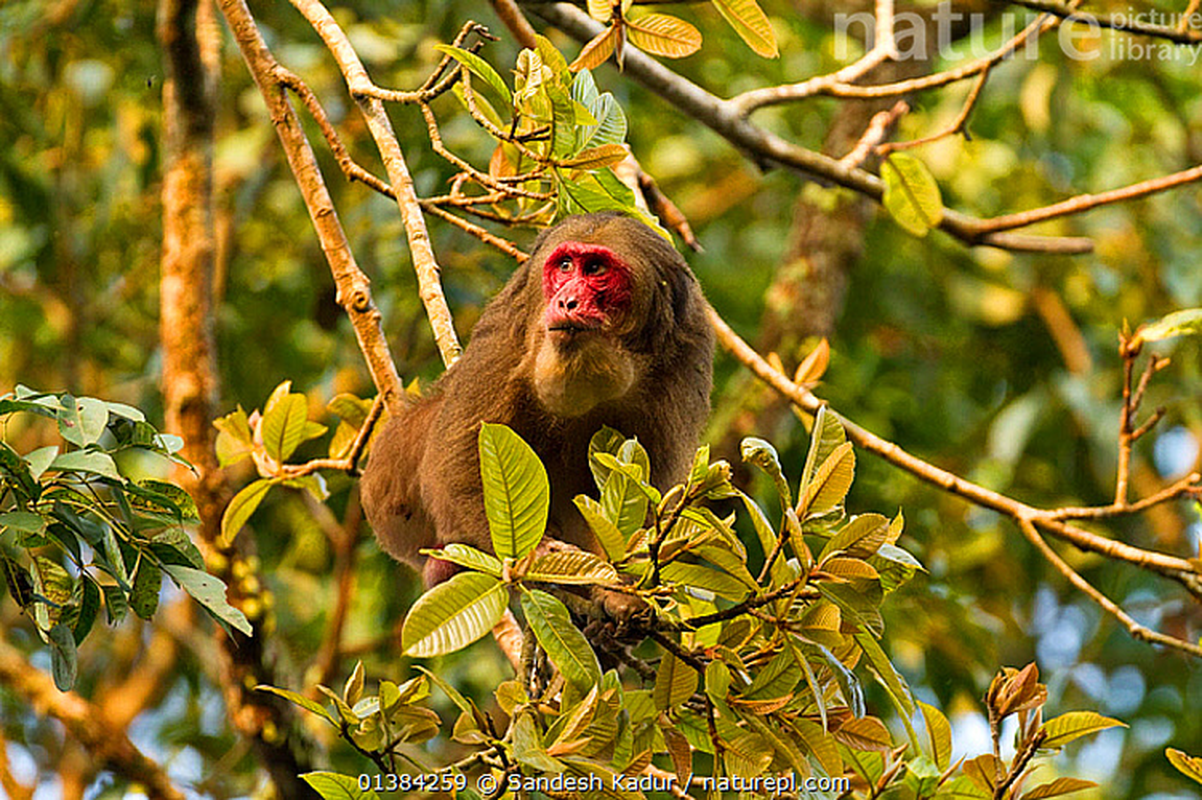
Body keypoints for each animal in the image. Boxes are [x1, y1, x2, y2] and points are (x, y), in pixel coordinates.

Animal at [358, 209, 711, 595]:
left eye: (596, 269)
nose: (566, 301)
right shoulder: (513, 323)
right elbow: (457, 457)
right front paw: (536, 553)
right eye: (566, 266)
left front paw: (621, 594)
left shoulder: (688, 351)